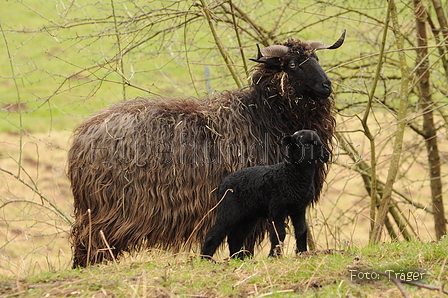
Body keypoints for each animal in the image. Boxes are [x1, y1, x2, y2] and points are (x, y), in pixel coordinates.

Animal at [201, 129, 328, 260]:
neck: (291, 174)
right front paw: (274, 256)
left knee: (235, 237)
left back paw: (239, 259)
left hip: (249, 216)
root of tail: (222, 184)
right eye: (307, 145)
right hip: (229, 210)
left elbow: (301, 230)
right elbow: (279, 233)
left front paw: (302, 252)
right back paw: (206, 259)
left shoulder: (299, 209)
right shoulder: (277, 209)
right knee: (214, 234)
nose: (326, 156)